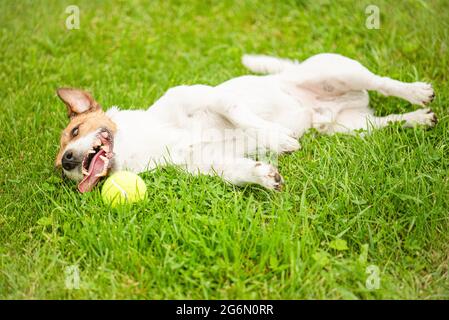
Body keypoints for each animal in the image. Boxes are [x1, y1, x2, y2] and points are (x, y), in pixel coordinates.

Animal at [54, 53, 436, 192]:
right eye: (60, 168)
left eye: (75, 131)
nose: (69, 160)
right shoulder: (207, 163)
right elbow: (238, 172)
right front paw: (264, 176)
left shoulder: (212, 99)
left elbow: (241, 114)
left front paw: (278, 140)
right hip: (351, 129)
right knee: (388, 122)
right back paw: (417, 118)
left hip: (338, 71)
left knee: (382, 82)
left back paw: (416, 92)